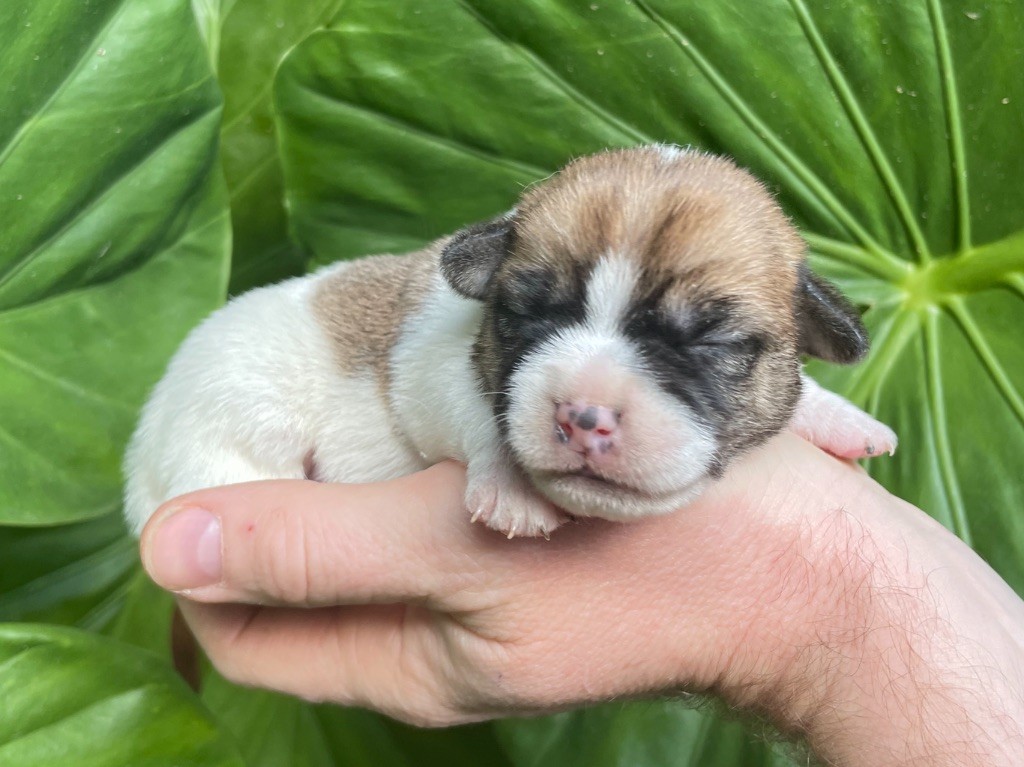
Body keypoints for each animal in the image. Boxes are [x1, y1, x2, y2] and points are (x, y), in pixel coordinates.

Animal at [123, 145, 897, 536]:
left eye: (714, 345)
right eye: (528, 314)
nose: (584, 417)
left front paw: (841, 417)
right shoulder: (429, 363)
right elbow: (477, 407)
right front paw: (509, 483)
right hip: (223, 431)